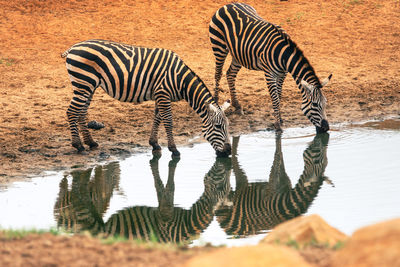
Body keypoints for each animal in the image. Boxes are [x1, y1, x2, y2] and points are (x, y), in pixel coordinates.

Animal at [62, 39, 231, 157]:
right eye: (218, 127)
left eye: (228, 126)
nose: (229, 152)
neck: (180, 80)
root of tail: (73, 47)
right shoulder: (163, 94)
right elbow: (168, 121)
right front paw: (174, 149)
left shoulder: (160, 95)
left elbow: (157, 118)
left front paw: (154, 144)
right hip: (84, 83)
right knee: (72, 112)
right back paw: (78, 146)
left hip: (89, 86)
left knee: (82, 112)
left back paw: (90, 142)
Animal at [208, 3, 332, 133]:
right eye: (315, 105)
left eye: (325, 103)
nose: (326, 128)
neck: (284, 56)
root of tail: (228, 4)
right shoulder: (269, 73)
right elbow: (275, 98)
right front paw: (277, 125)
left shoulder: (282, 73)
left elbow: (279, 95)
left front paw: (280, 119)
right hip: (219, 46)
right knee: (218, 74)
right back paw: (216, 102)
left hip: (238, 54)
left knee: (230, 74)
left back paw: (237, 105)